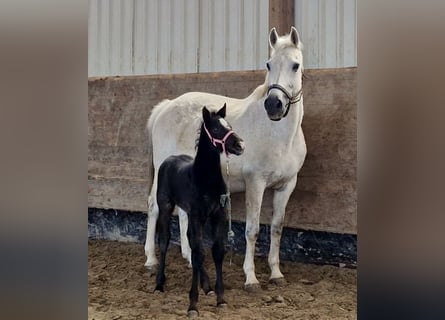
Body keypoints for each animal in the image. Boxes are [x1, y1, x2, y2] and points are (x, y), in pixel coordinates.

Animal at [145, 26, 306, 290]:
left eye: (295, 65)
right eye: (268, 64)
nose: (273, 104)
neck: (279, 135)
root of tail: (165, 107)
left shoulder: (287, 186)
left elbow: (277, 228)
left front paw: (276, 273)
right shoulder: (256, 183)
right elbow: (252, 230)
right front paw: (251, 278)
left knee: (183, 212)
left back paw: (189, 258)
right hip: (162, 174)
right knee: (153, 206)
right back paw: (150, 259)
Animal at [154, 104, 245, 316]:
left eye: (229, 125)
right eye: (217, 129)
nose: (240, 145)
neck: (206, 180)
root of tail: (169, 159)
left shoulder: (217, 215)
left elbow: (215, 251)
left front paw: (220, 299)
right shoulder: (197, 216)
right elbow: (198, 253)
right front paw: (193, 305)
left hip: (190, 214)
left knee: (191, 241)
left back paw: (207, 287)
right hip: (166, 206)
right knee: (164, 241)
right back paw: (159, 284)